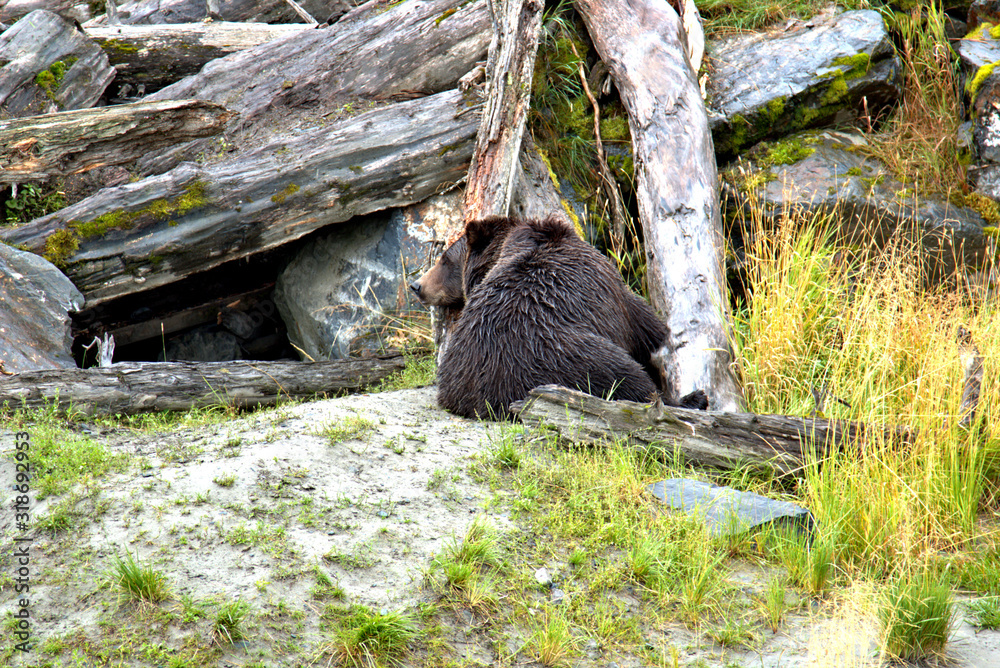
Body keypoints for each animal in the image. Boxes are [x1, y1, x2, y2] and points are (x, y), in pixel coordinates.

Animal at [437, 215, 706, 420]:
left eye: (444, 259)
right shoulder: (611, 291)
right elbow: (644, 323)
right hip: (576, 355)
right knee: (630, 378)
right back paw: (692, 399)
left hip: (461, 369)